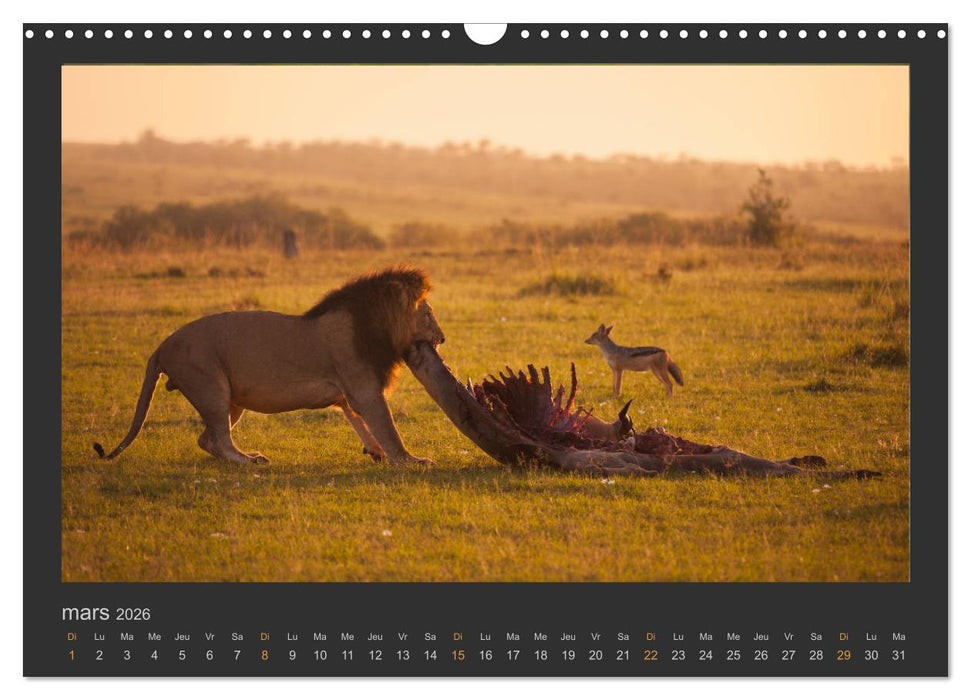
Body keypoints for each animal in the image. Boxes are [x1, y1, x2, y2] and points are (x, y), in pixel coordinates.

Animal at [93, 267, 445, 465]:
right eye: (427, 314)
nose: (442, 338)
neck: (377, 325)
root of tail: (161, 346)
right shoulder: (363, 386)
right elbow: (387, 428)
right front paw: (410, 460)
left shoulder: (349, 392)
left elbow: (360, 423)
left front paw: (375, 452)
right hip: (211, 387)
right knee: (219, 439)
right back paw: (248, 461)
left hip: (230, 400)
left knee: (207, 439)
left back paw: (246, 457)